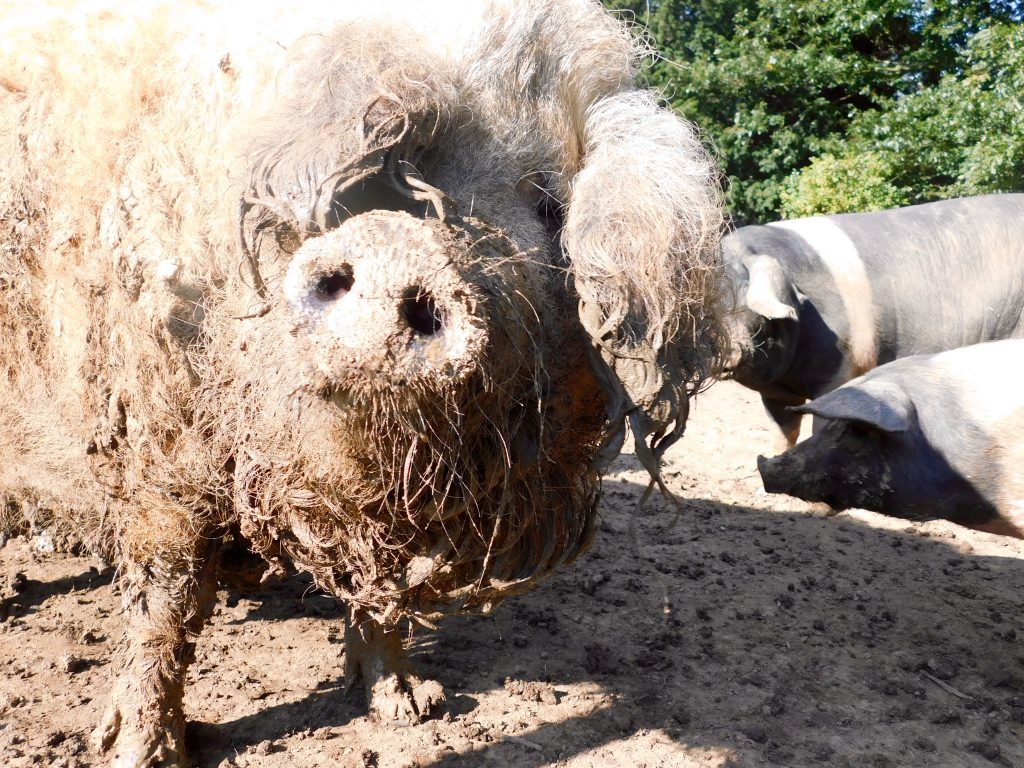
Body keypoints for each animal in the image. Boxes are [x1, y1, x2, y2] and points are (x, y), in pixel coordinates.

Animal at [0, 3, 724, 765]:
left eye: (547, 202)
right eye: (402, 170)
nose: (397, 246)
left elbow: (378, 594)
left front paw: (413, 709)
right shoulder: (154, 432)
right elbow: (165, 600)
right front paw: (141, 752)